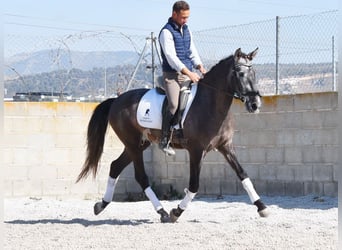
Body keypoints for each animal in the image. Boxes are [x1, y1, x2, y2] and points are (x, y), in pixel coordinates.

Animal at [76, 47, 268, 223]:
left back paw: (101, 205)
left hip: (139, 144)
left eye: (254, 73)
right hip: (133, 145)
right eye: (241, 74)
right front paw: (177, 212)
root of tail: (116, 100)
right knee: (141, 177)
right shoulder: (196, 151)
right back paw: (162, 211)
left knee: (115, 166)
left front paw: (262, 207)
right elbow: (194, 185)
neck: (211, 103)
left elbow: (243, 175)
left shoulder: (225, 146)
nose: (255, 104)